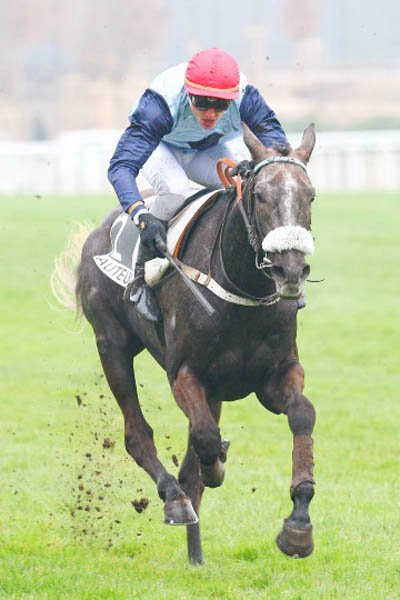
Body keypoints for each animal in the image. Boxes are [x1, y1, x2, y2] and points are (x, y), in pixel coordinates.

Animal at [57, 123, 317, 565]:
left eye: (310, 195)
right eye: (261, 195)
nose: (291, 270)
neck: (241, 290)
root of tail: (96, 232)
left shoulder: (276, 374)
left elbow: (302, 415)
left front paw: (298, 524)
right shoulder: (185, 373)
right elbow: (205, 439)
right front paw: (215, 468)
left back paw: (196, 554)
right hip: (111, 344)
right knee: (138, 434)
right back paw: (175, 499)